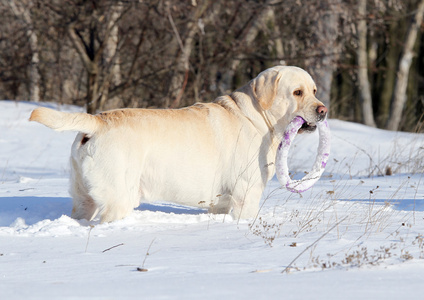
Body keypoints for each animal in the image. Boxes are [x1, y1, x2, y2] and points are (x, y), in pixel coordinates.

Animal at [29, 65, 328, 221]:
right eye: (297, 92)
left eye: (314, 90)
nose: (323, 110)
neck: (257, 118)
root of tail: (98, 120)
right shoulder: (247, 192)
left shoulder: (221, 201)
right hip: (119, 198)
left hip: (84, 199)